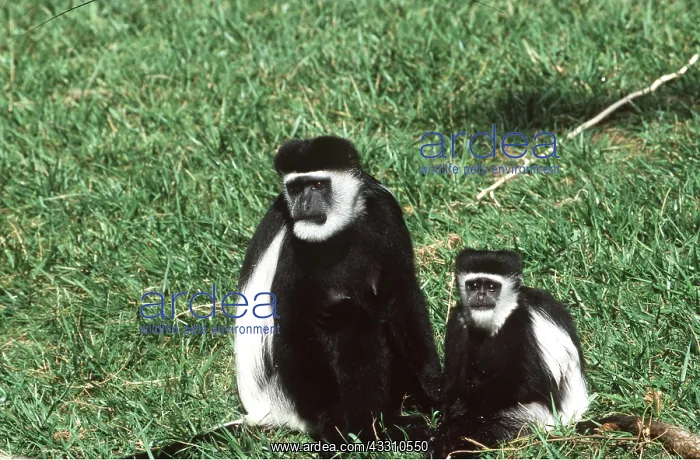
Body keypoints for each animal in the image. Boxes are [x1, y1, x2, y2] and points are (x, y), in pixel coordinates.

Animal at [234, 135, 442, 444]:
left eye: (319, 185)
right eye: (295, 188)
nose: (303, 204)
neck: (336, 235)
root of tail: (267, 410)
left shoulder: (384, 211)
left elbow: (402, 295)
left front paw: (436, 391)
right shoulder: (291, 249)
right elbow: (293, 324)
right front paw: (338, 426)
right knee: (346, 318)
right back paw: (373, 429)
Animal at [431, 248, 589, 458]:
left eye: (491, 286)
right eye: (474, 285)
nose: (480, 296)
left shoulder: (524, 323)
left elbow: (531, 381)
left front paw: (463, 409)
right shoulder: (459, 320)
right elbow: (453, 380)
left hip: (534, 416)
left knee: (495, 424)